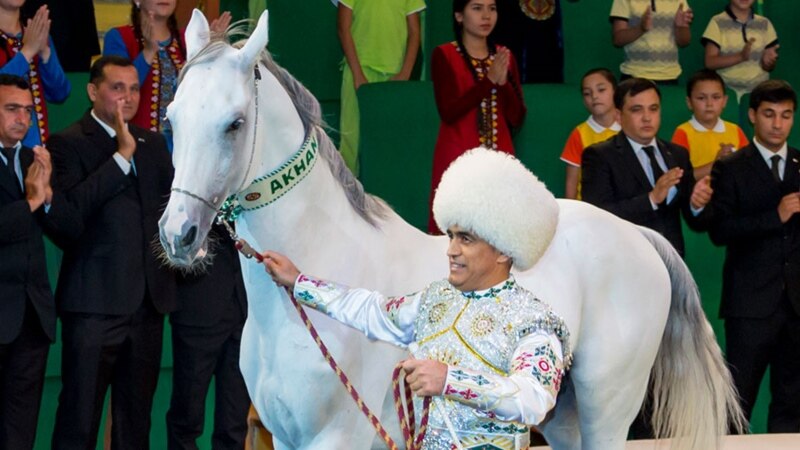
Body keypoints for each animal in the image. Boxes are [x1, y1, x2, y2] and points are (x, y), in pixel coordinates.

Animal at [159, 10, 748, 450]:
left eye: (234, 123)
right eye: (171, 117)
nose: (178, 235)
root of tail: (639, 237)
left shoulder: (338, 438)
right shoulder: (283, 438)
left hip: (609, 408)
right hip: (564, 414)